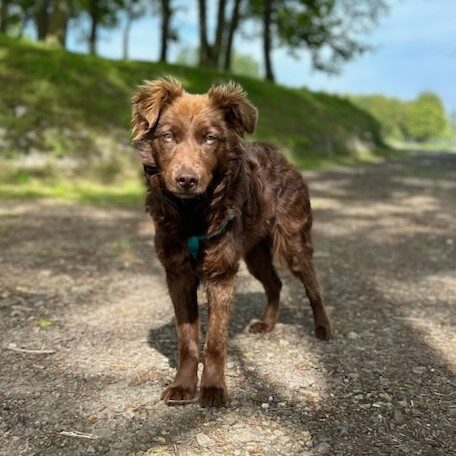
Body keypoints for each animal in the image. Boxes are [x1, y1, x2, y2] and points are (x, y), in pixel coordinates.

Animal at [130, 76, 334, 408]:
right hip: (255, 253)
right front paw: (183, 385)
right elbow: (187, 339)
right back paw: (267, 324)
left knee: (312, 286)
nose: (186, 180)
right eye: (168, 136)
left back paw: (323, 328)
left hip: (292, 244)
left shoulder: (221, 274)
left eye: (210, 138)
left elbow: (214, 340)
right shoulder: (178, 275)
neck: (192, 213)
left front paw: (213, 388)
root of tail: (281, 156)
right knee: (275, 284)